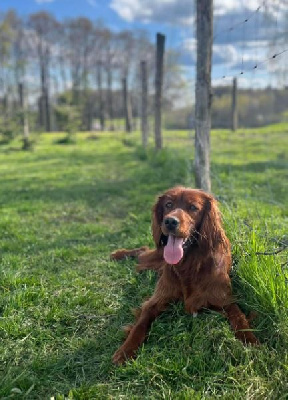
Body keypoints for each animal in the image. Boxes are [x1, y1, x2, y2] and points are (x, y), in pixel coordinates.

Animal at [111, 186, 258, 364]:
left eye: (193, 207)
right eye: (168, 204)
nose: (170, 222)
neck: (189, 265)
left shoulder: (225, 300)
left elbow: (240, 317)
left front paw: (250, 340)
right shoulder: (157, 299)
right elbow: (140, 323)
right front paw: (125, 350)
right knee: (142, 252)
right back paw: (118, 254)